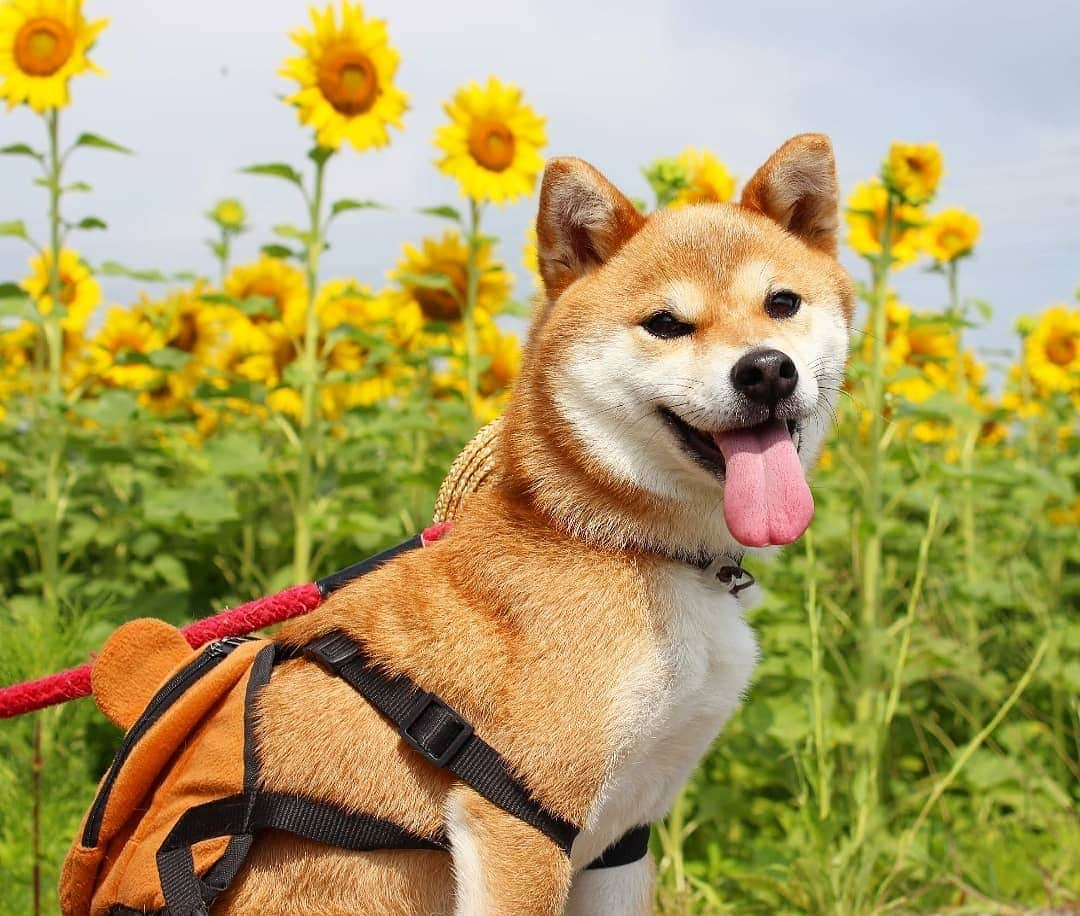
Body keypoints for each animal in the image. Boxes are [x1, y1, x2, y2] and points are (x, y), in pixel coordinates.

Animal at [223, 132, 855, 911]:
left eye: (782, 303)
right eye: (666, 325)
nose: (766, 369)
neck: (618, 540)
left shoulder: (621, 836)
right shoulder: (521, 816)